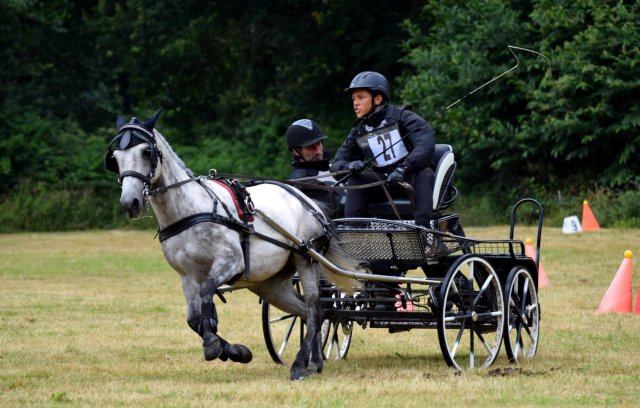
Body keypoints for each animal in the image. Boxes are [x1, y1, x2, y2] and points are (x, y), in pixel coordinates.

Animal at [104, 110, 363, 380]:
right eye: (115, 158)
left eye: (146, 152)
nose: (130, 203)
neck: (191, 211)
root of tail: (308, 201)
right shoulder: (187, 276)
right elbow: (194, 319)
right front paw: (236, 351)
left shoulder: (231, 261)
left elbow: (208, 291)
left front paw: (212, 345)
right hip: (270, 285)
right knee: (306, 313)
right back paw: (314, 362)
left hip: (307, 260)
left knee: (315, 311)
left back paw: (300, 365)